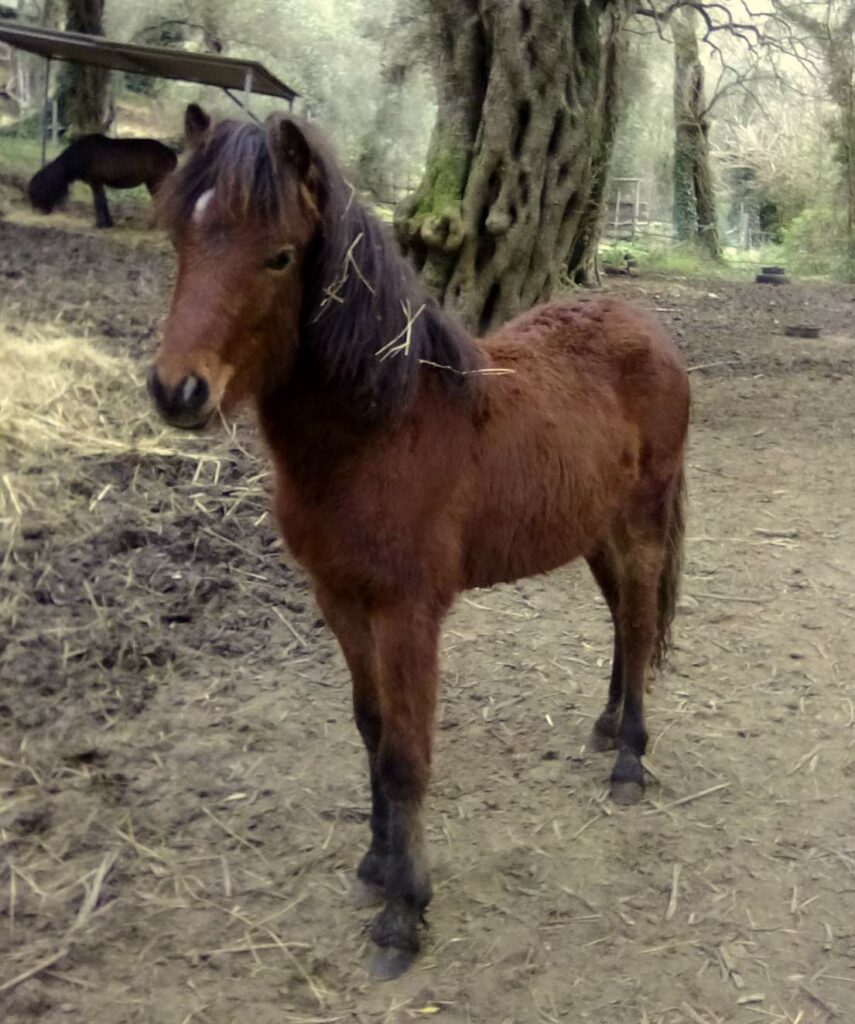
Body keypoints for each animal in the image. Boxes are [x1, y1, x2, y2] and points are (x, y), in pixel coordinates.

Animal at [27, 134, 177, 228]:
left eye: (39, 187)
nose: (38, 210)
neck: (79, 157)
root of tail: (172, 154)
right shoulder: (99, 183)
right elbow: (102, 201)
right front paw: (108, 223)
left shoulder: (95, 181)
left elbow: (98, 202)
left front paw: (100, 224)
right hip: (152, 182)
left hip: (156, 181)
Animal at [148, 103, 690, 978]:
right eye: (178, 239)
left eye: (279, 256)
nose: (177, 391)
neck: (382, 429)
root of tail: (643, 325)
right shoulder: (340, 601)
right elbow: (371, 732)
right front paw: (375, 865)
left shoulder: (407, 614)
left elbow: (406, 754)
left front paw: (404, 915)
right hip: (593, 529)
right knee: (620, 620)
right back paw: (608, 724)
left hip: (641, 521)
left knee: (640, 622)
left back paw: (628, 762)